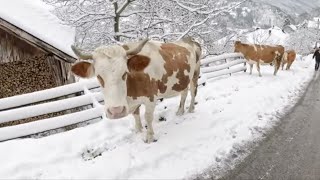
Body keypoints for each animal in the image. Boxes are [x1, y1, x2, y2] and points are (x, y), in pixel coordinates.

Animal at [70, 37, 200, 143]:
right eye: (98, 76)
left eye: (125, 73)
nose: (116, 111)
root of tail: (189, 39)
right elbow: (136, 115)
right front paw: (138, 130)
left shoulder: (151, 98)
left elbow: (148, 117)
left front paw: (149, 137)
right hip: (184, 79)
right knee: (184, 93)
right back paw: (180, 111)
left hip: (195, 74)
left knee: (193, 92)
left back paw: (191, 109)